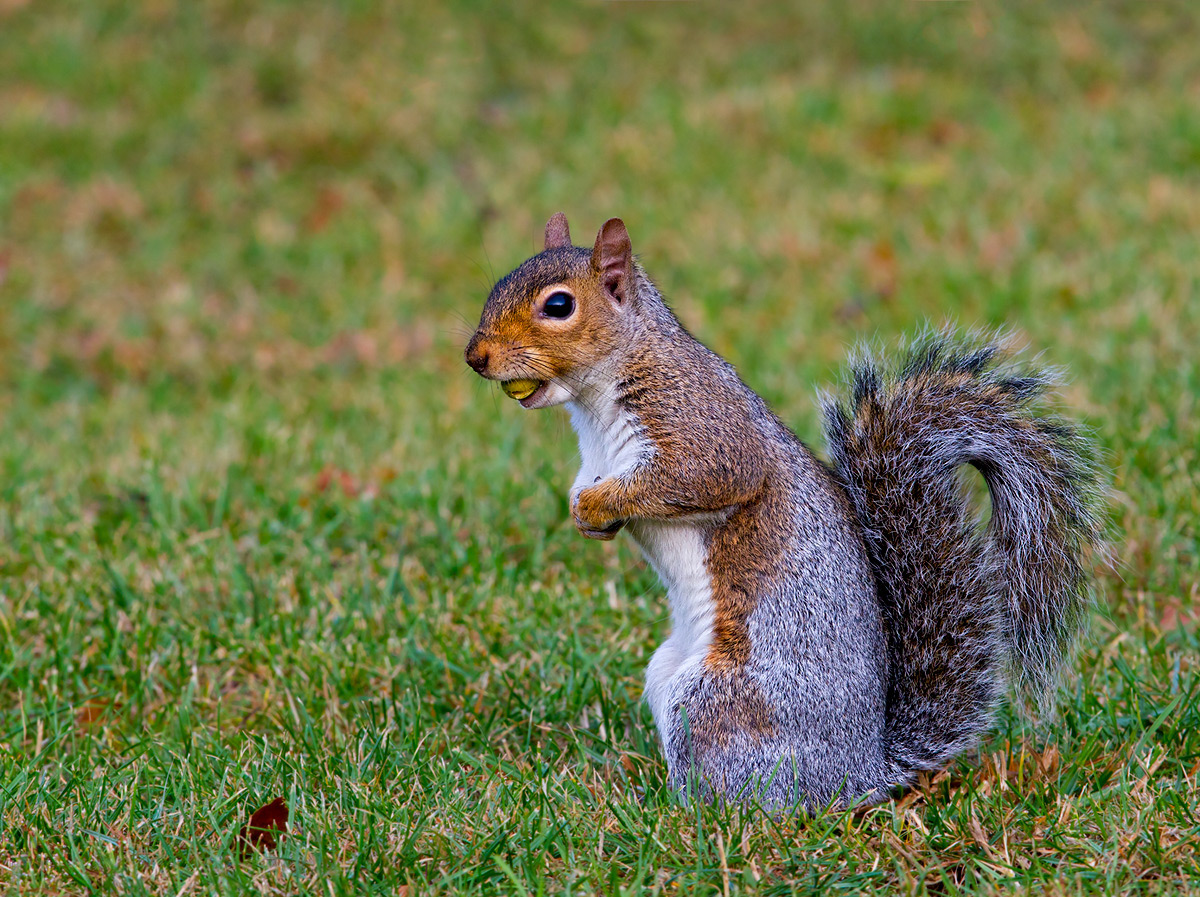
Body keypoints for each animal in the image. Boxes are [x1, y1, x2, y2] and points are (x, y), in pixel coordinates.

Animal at [464, 213, 1104, 810]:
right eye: (498, 284)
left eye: (559, 305)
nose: (475, 356)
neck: (597, 402)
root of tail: (862, 772)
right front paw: (584, 511)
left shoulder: (703, 428)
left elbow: (698, 478)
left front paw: (600, 505)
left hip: (715, 700)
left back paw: (671, 811)